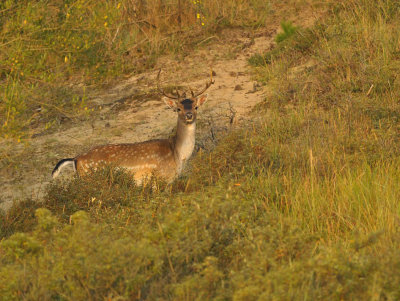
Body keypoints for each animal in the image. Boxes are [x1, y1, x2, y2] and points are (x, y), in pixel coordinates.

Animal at [53, 69, 216, 184]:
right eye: (178, 109)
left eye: (196, 107)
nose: (189, 115)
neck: (178, 156)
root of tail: (75, 159)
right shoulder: (160, 177)